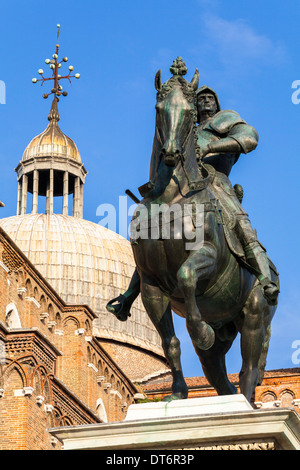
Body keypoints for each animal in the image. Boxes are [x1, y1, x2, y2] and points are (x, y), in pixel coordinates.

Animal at [116, 66, 278, 404]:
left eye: (191, 110)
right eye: (159, 108)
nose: (171, 153)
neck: (170, 198)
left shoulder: (206, 257)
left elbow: (187, 278)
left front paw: (202, 332)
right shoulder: (151, 285)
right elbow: (170, 343)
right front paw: (177, 393)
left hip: (255, 318)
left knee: (248, 372)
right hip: (224, 333)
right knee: (220, 377)